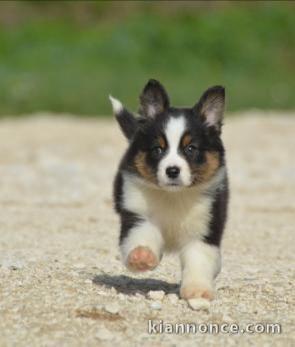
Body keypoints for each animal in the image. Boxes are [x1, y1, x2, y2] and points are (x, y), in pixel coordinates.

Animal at [110, 79, 230, 302]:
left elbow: (199, 259)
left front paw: (197, 290)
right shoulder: (137, 213)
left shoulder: (204, 230)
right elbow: (141, 235)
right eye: (158, 149)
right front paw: (142, 256)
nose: (172, 170)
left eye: (191, 149)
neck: (174, 196)